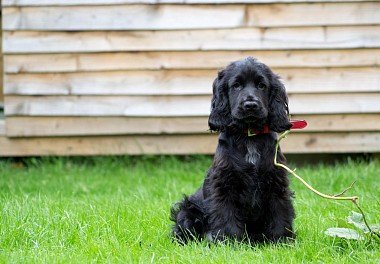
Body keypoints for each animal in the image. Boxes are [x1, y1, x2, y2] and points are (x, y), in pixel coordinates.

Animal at [171, 57, 296, 243]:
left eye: (262, 85)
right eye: (236, 85)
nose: (250, 105)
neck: (249, 135)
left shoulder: (276, 182)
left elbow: (280, 211)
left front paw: (281, 240)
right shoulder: (224, 184)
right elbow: (225, 213)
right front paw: (230, 241)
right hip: (187, 210)